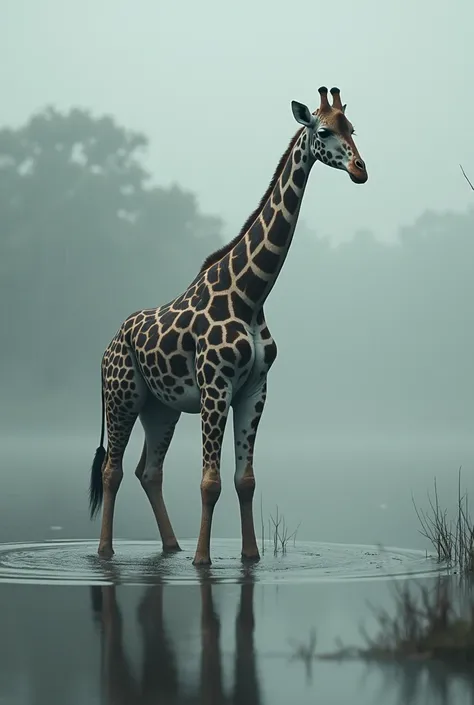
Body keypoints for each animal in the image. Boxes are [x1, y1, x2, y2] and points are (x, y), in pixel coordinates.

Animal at [90, 84, 370, 568]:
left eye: (352, 127)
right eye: (323, 130)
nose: (360, 169)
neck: (251, 295)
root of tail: (108, 345)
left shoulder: (254, 388)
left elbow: (245, 480)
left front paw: (250, 556)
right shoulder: (215, 386)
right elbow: (210, 481)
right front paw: (203, 561)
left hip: (160, 408)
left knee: (149, 470)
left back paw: (172, 548)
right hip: (122, 396)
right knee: (112, 469)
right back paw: (107, 552)